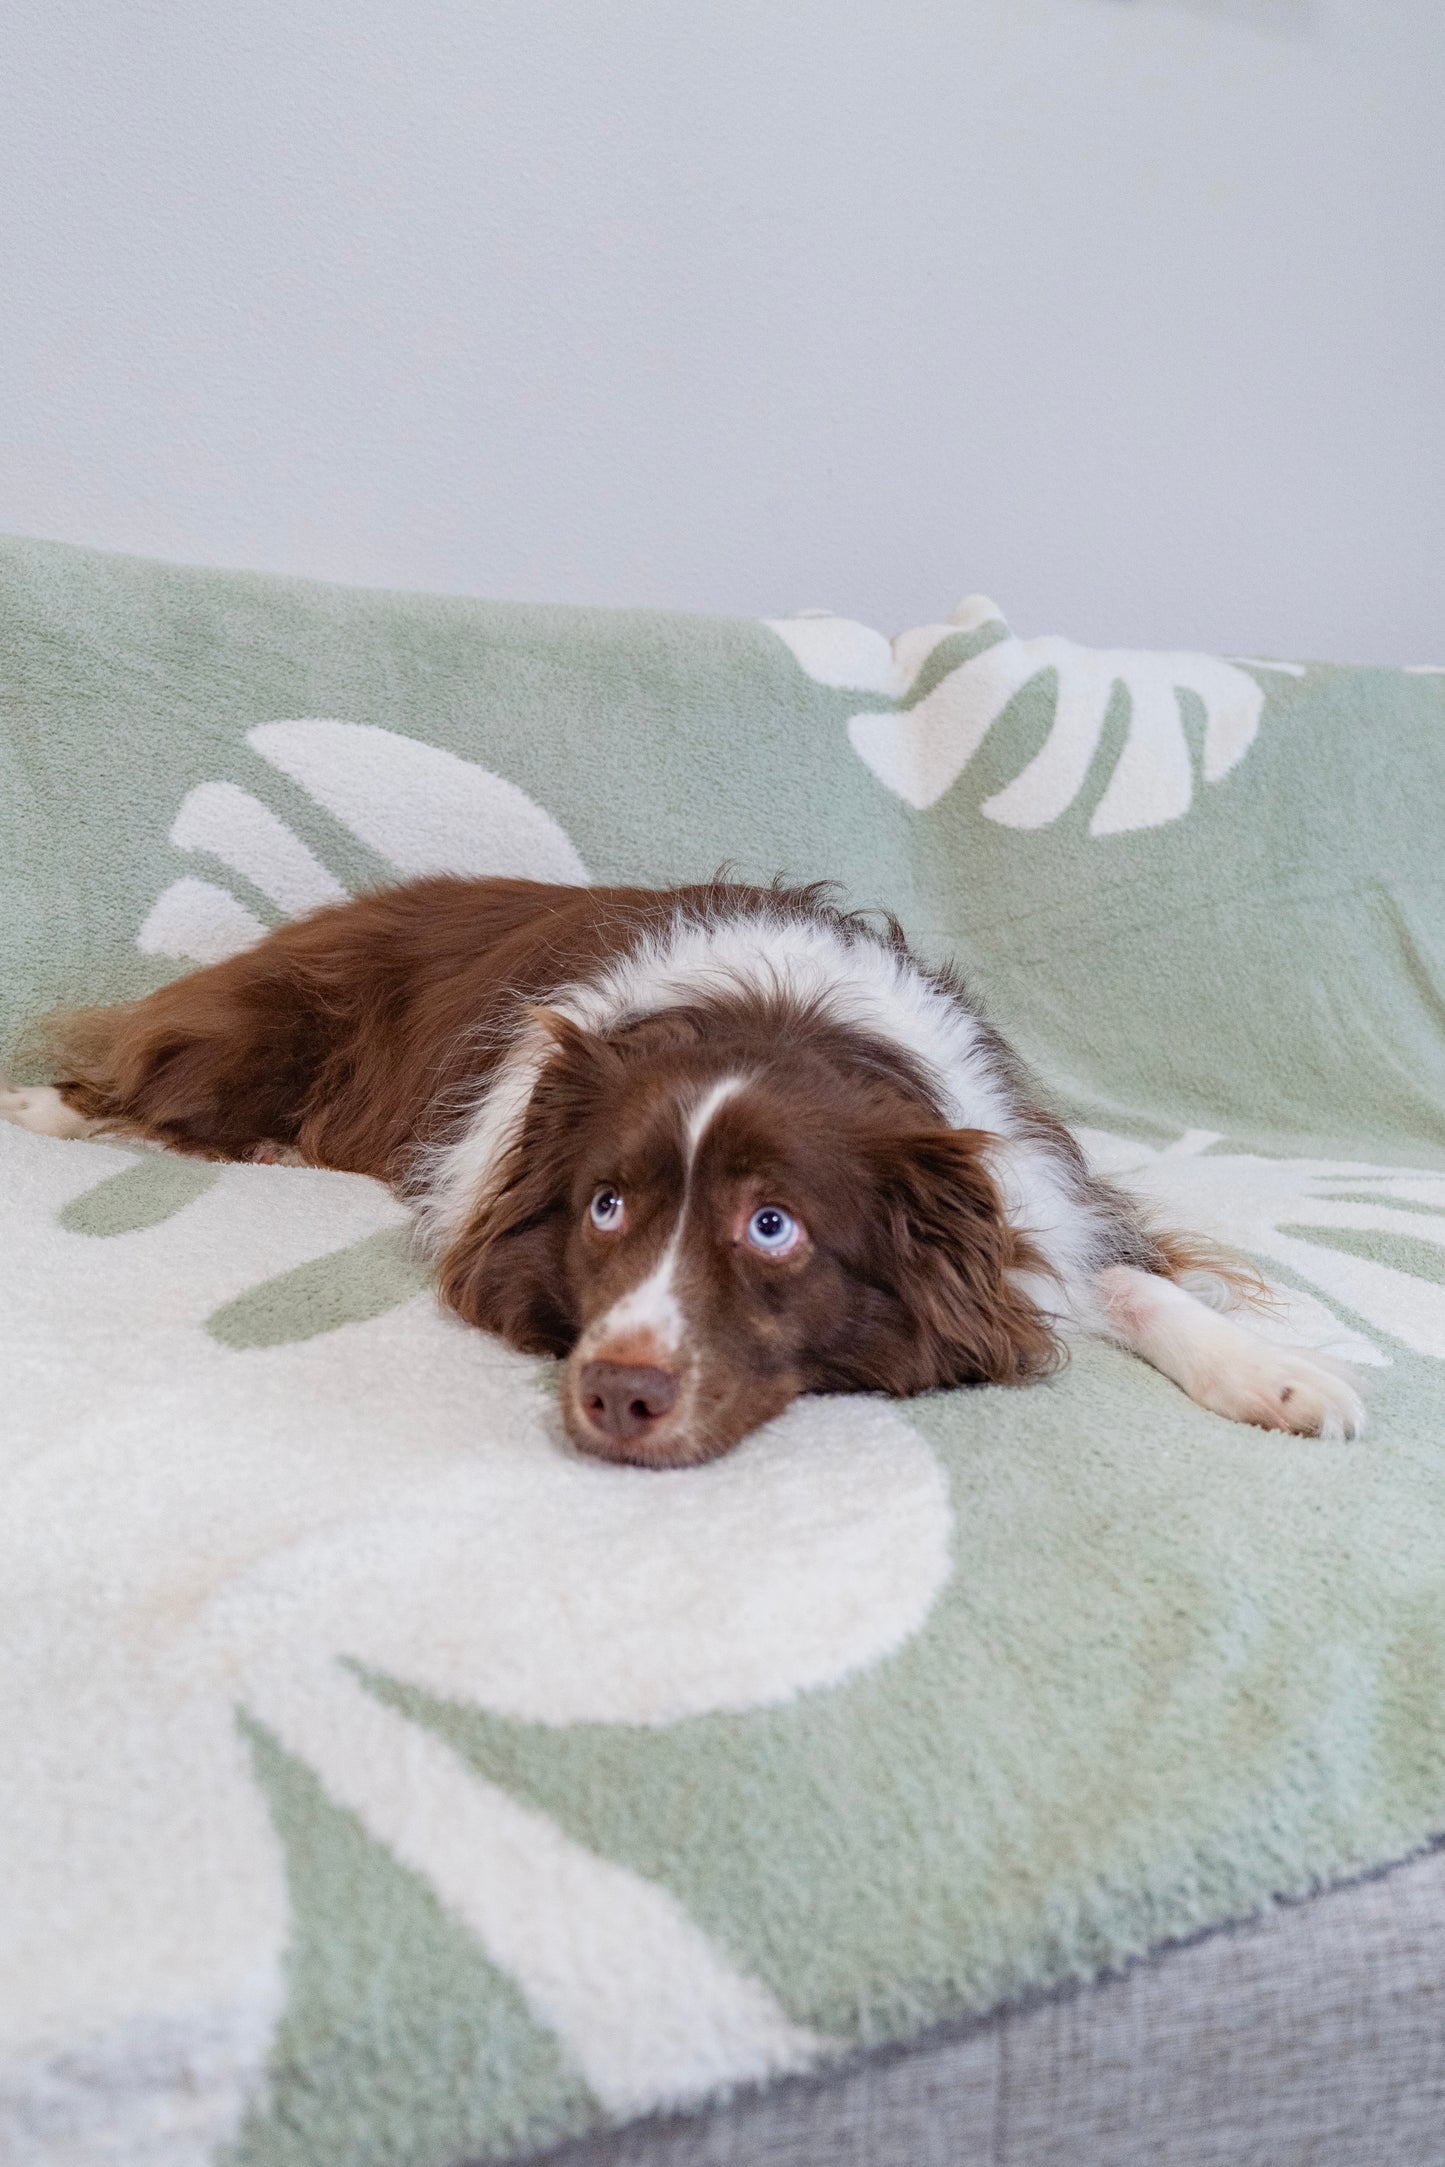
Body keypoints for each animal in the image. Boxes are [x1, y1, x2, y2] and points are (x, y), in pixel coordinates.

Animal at [2, 871, 1369, 1464]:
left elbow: (1130, 1284)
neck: (769, 1016)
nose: (617, 1394)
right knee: (133, 1083)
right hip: (248, 1033)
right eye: (605, 1207)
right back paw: (49, 1107)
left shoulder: (1023, 1193)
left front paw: (1279, 1376)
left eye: (773, 1227)